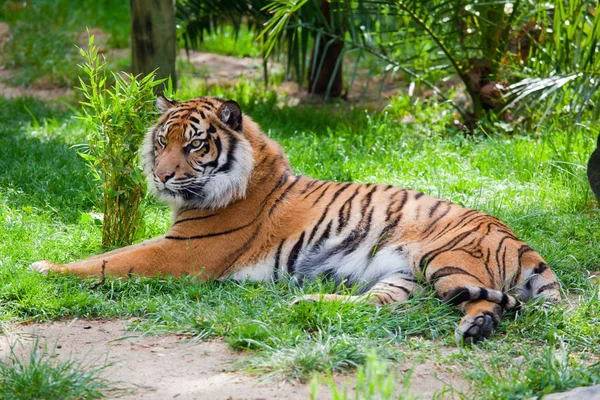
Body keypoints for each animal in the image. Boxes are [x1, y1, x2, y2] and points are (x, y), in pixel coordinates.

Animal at [30, 96, 560, 344]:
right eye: (162, 140)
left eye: (195, 144)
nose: (160, 176)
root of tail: (516, 237)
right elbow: (110, 253)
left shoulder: (184, 250)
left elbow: (109, 260)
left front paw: (43, 269)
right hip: (402, 276)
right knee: (386, 305)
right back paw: (307, 303)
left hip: (442, 258)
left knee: (480, 302)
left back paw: (475, 329)